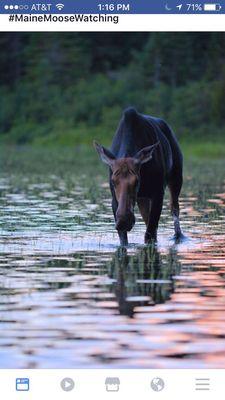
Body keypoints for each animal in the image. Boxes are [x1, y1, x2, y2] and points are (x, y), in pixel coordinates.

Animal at [94, 109, 184, 247]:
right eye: (113, 182)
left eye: (137, 181)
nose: (123, 221)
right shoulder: (114, 199)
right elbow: (124, 241)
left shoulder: (158, 193)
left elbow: (149, 236)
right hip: (143, 199)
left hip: (176, 178)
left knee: (174, 208)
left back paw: (178, 236)